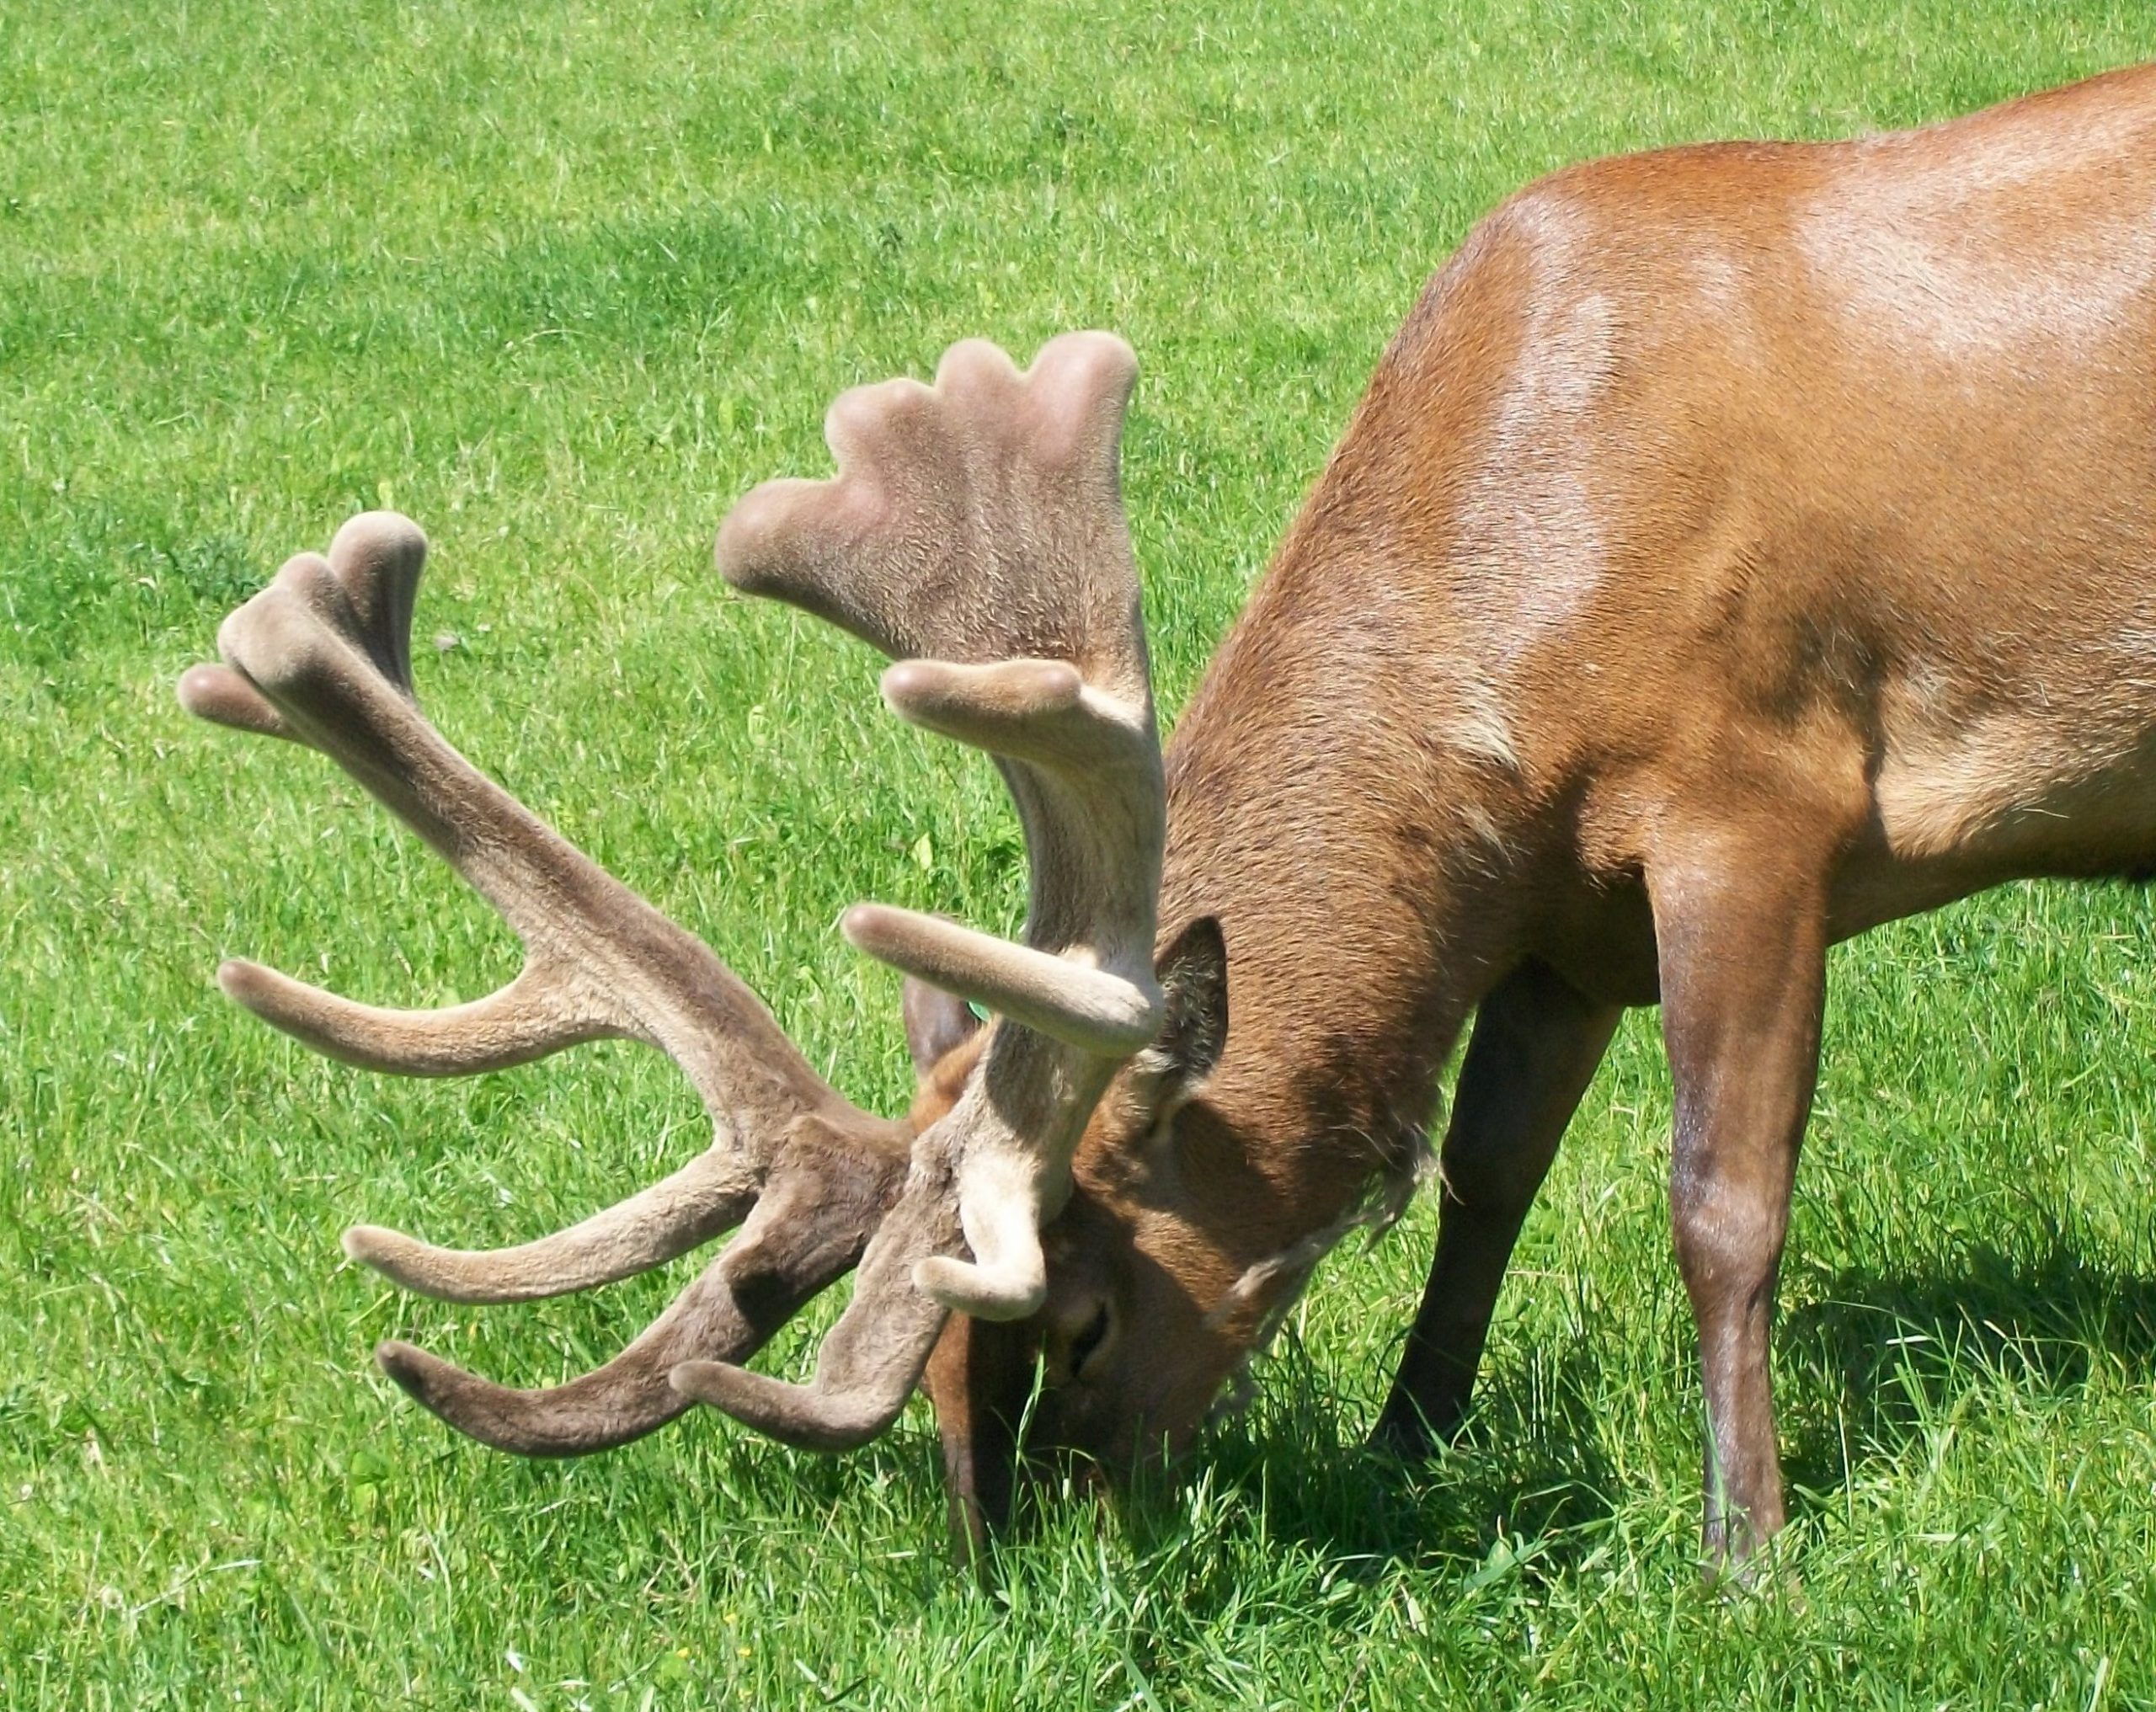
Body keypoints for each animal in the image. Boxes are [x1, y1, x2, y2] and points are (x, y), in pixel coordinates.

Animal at [181, 63, 2156, 1560]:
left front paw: (1742, 1544)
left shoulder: (1754, 793)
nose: (1032, 1549)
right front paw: (1401, 1444)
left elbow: (1721, 1202)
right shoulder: (1557, 907)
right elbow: (1482, 1181)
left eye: (1077, 1309)